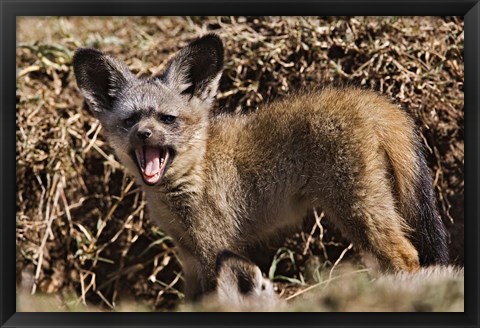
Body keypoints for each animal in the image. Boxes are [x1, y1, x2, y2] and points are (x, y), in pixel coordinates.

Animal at [72, 33, 450, 302]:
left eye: (167, 119)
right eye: (130, 120)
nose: (144, 134)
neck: (195, 173)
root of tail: (369, 98)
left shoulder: (214, 247)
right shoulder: (189, 255)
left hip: (359, 211)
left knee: (406, 257)